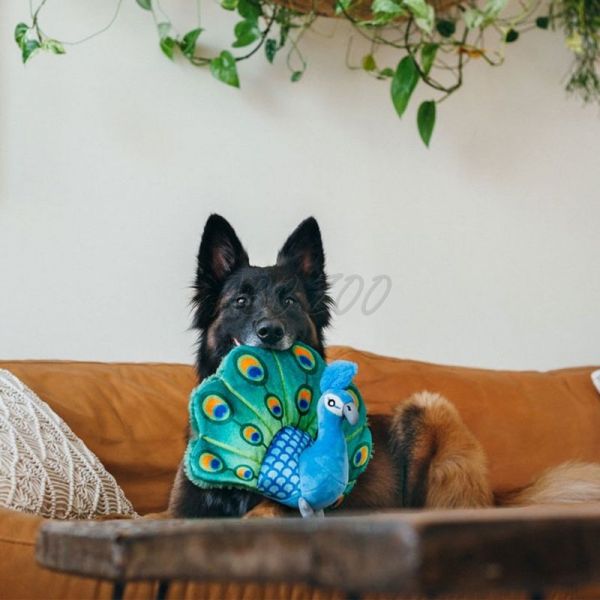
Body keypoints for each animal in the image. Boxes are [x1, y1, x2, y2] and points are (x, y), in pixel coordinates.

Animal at [168, 214, 600, 518]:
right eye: (240, 302)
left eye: (289, 301)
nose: (270, 332)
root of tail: (493, 495)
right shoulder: (183, 509)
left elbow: (265, 508)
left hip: (425, 409)